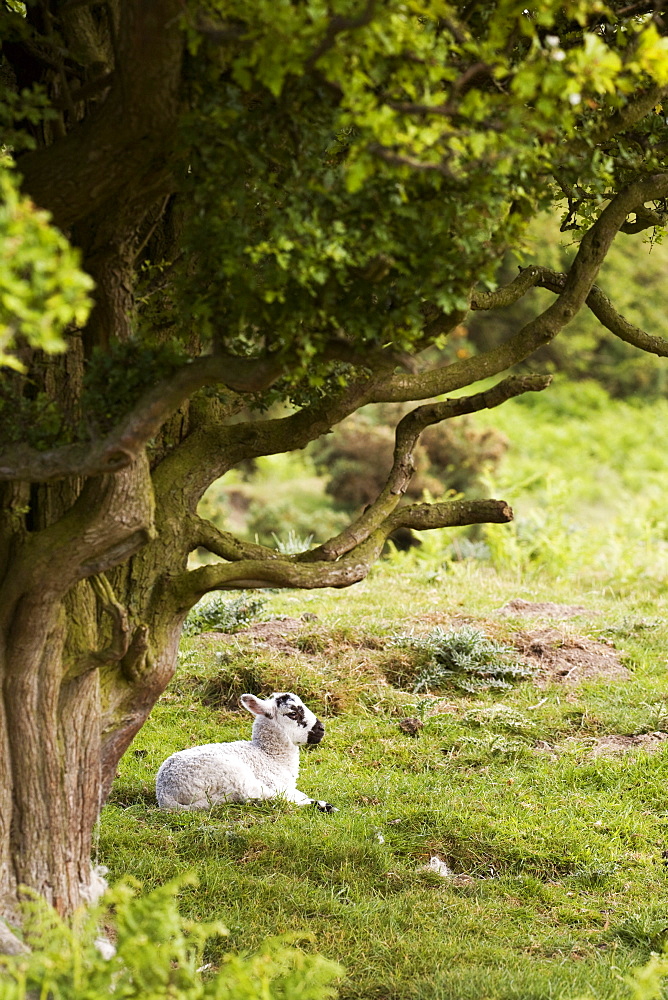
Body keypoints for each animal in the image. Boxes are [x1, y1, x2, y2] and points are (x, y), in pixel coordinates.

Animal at [155, 692, 336, 816]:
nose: (322, 729)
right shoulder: (272, 781)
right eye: (293, 714)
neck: (269, 755)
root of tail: (165, 793)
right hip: (233, 775)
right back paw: (324, 806)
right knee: (261, 797)